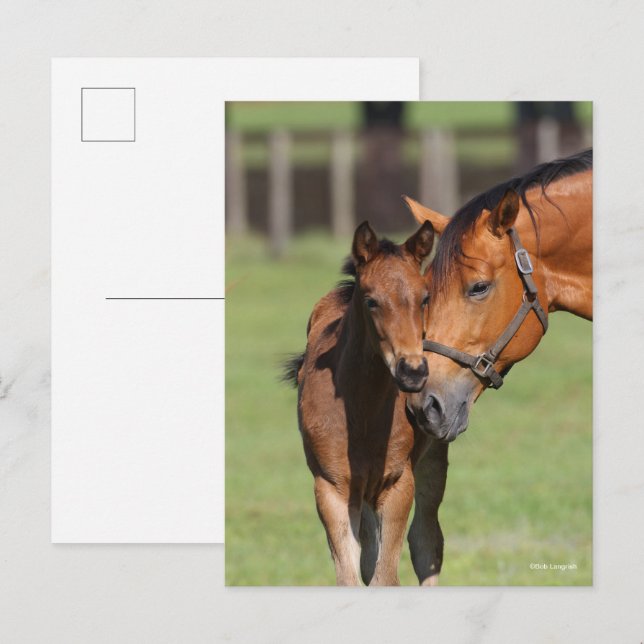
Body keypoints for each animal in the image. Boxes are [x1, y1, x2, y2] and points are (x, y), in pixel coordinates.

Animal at [285, 220, 435, 585]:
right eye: (371, 301)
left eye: (424, 298)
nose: (413, 371)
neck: (361, 412)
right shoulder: (332, 489)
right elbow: (351, 577)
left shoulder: (398, 484)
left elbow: (386, 577)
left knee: (427, 542)